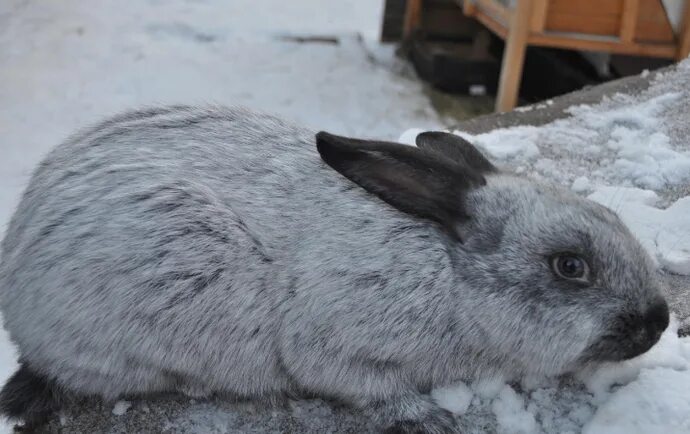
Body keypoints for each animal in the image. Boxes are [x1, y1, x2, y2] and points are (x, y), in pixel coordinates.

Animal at [0, 106, 668, 434]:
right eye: (570, 266)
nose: (659, 321)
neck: (452, 274)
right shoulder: (334, 346)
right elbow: (366, 388)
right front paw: (427, 419)